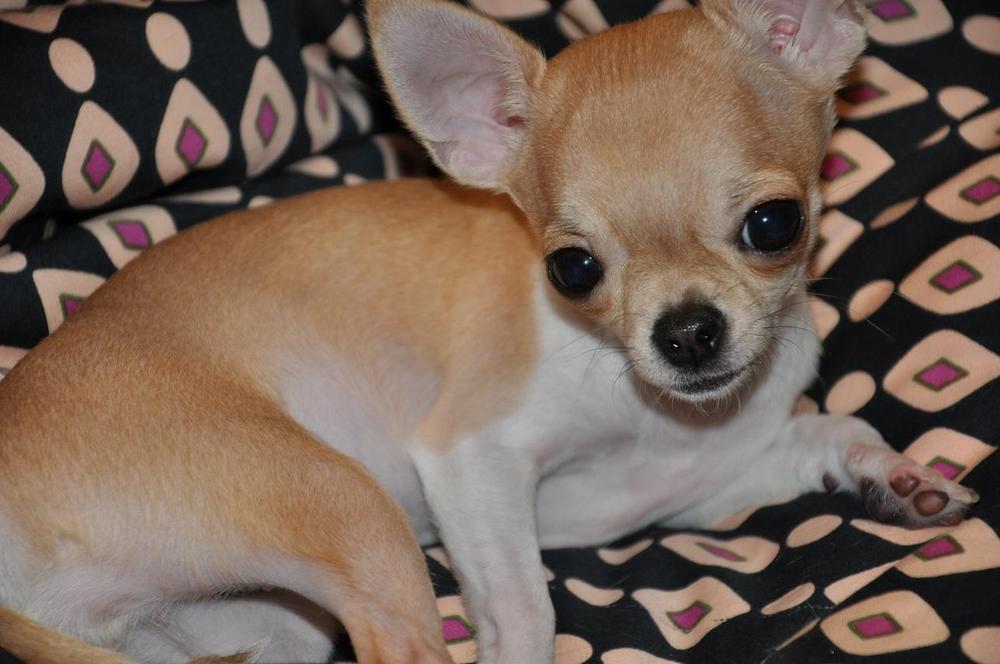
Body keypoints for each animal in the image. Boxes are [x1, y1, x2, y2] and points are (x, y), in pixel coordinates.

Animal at [0, 0, 979, 662]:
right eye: (572, 269)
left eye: (774, 225)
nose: (687, 334)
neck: (652, 410)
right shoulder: (472, 458)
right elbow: (523, 608)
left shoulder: (672, 492)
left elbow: (830, 426)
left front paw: (894, 474)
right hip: (348, 506)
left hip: (260, 626)